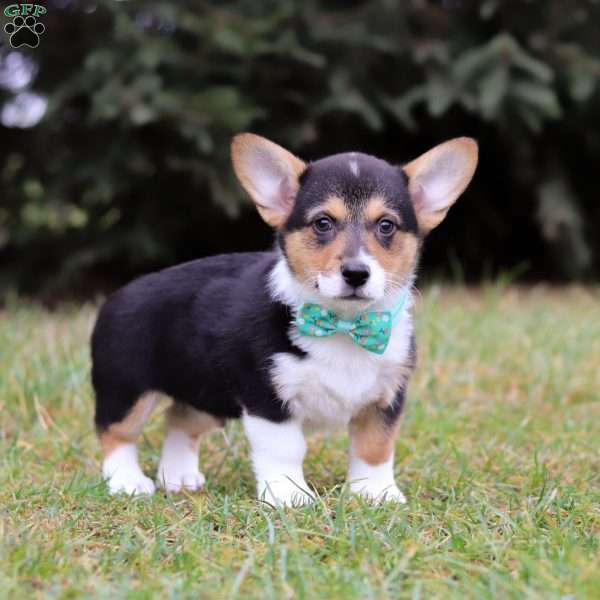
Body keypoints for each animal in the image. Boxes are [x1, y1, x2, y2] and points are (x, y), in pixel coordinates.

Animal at [90, 134, 478, 504]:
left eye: (386, 225)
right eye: (322, 223)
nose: (356, 273)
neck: (344, 326)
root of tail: (117, 295)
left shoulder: (386, 397)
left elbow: (375, 447)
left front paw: (375, 492)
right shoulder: (267, 397)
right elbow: (285, 449)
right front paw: (289, 495)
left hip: (205, 390)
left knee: (179, 421)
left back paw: (178, 477)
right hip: (127, 389)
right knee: (115, 433)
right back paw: (127, 482)